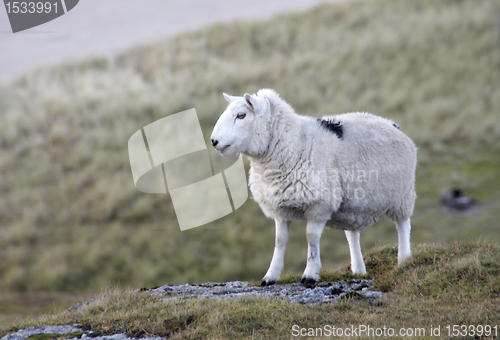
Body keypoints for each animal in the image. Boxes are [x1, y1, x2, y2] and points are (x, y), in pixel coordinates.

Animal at [209, 89, 416, 286]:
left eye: (241, 115)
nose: (213, 141)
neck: (296, 144)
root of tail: (393, 124)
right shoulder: (280, 209)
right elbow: (279, 241)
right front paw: (270, 276)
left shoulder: (319, 205)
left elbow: (311, 238)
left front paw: (310, 274)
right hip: (353, 205)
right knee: (352, 234)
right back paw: (358, 270)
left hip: (402, 195)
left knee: (403, 225)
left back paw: (404, 260)